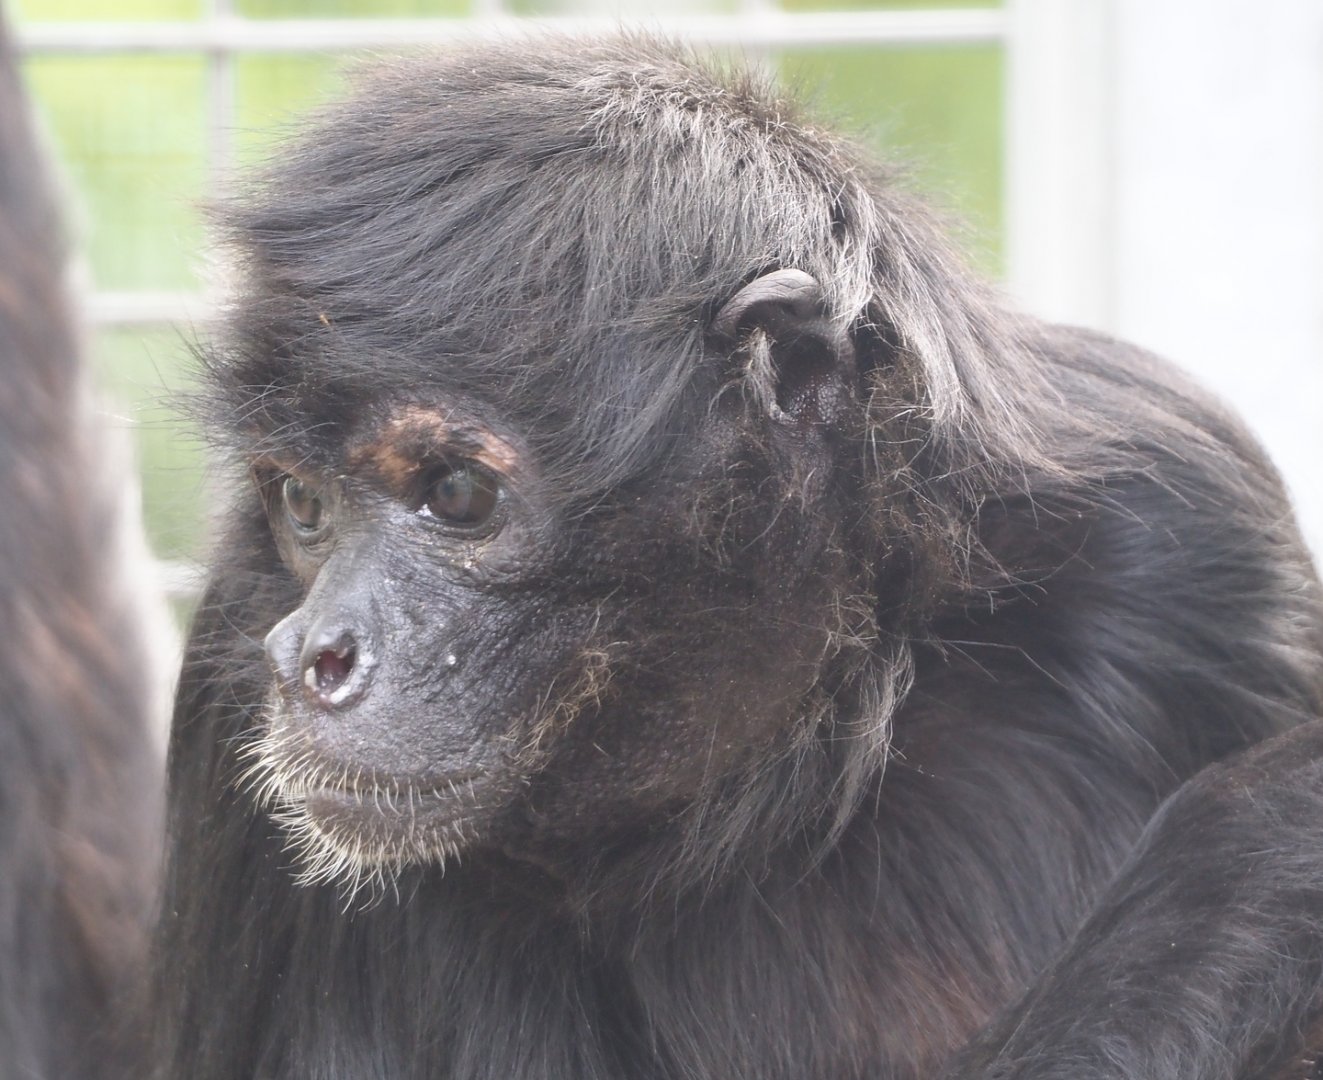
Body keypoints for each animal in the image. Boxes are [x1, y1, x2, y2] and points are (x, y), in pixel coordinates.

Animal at [155, 36, 1323, 1079]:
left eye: (456, 495)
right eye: (304, 506)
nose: (309, 652)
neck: (805, 758)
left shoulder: (1186, 518)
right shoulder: (233, 657)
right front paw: (1261, 851)